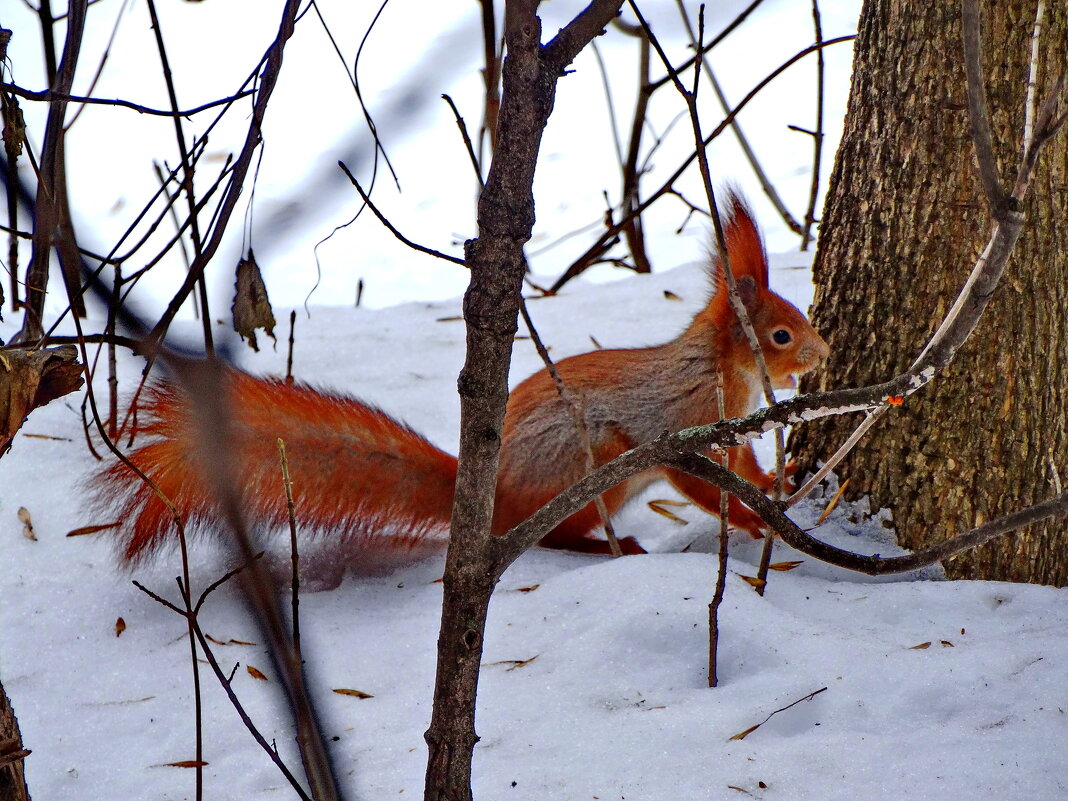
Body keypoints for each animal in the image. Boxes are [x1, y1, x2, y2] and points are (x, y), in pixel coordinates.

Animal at [91, 193, 824, 572]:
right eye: (781, 334)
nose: (820, 353)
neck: (722, 368)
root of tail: (486, 500)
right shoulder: (681, 423)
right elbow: (700, 483)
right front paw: (752, 521)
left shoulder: (732, 428)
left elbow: (744, 464)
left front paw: (777, 483)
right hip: (591, 470)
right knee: (551, 535)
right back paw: (599, 544)